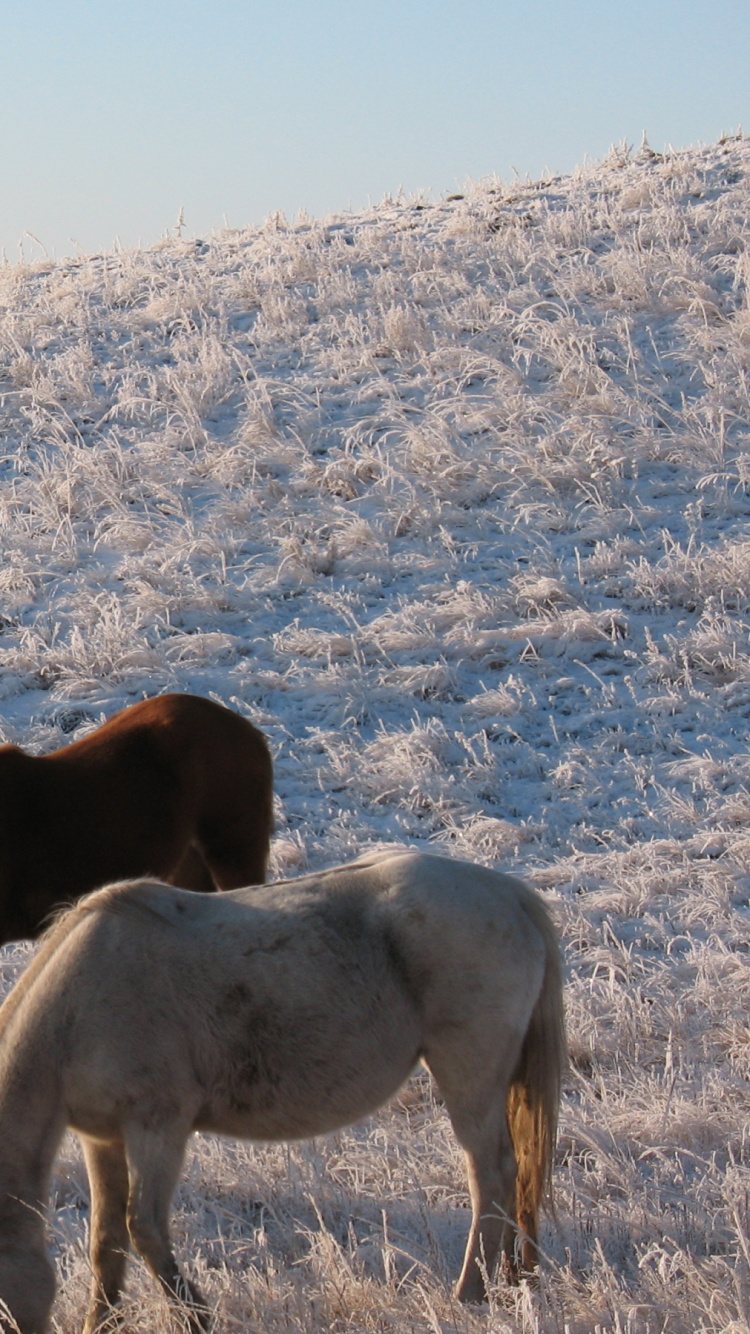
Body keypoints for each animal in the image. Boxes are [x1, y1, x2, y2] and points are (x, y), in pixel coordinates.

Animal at [0, 848, 565, 1334]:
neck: (78, 1008)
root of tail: (509, 894)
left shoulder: (157, 1128)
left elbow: (145, 1229)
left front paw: (196, 1317)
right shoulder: (103, 1138)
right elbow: (107, 1240)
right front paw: (102, 1322)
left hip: (469, 1073)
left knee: (491, 1175)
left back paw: (471, 1293)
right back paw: (509, 1281)